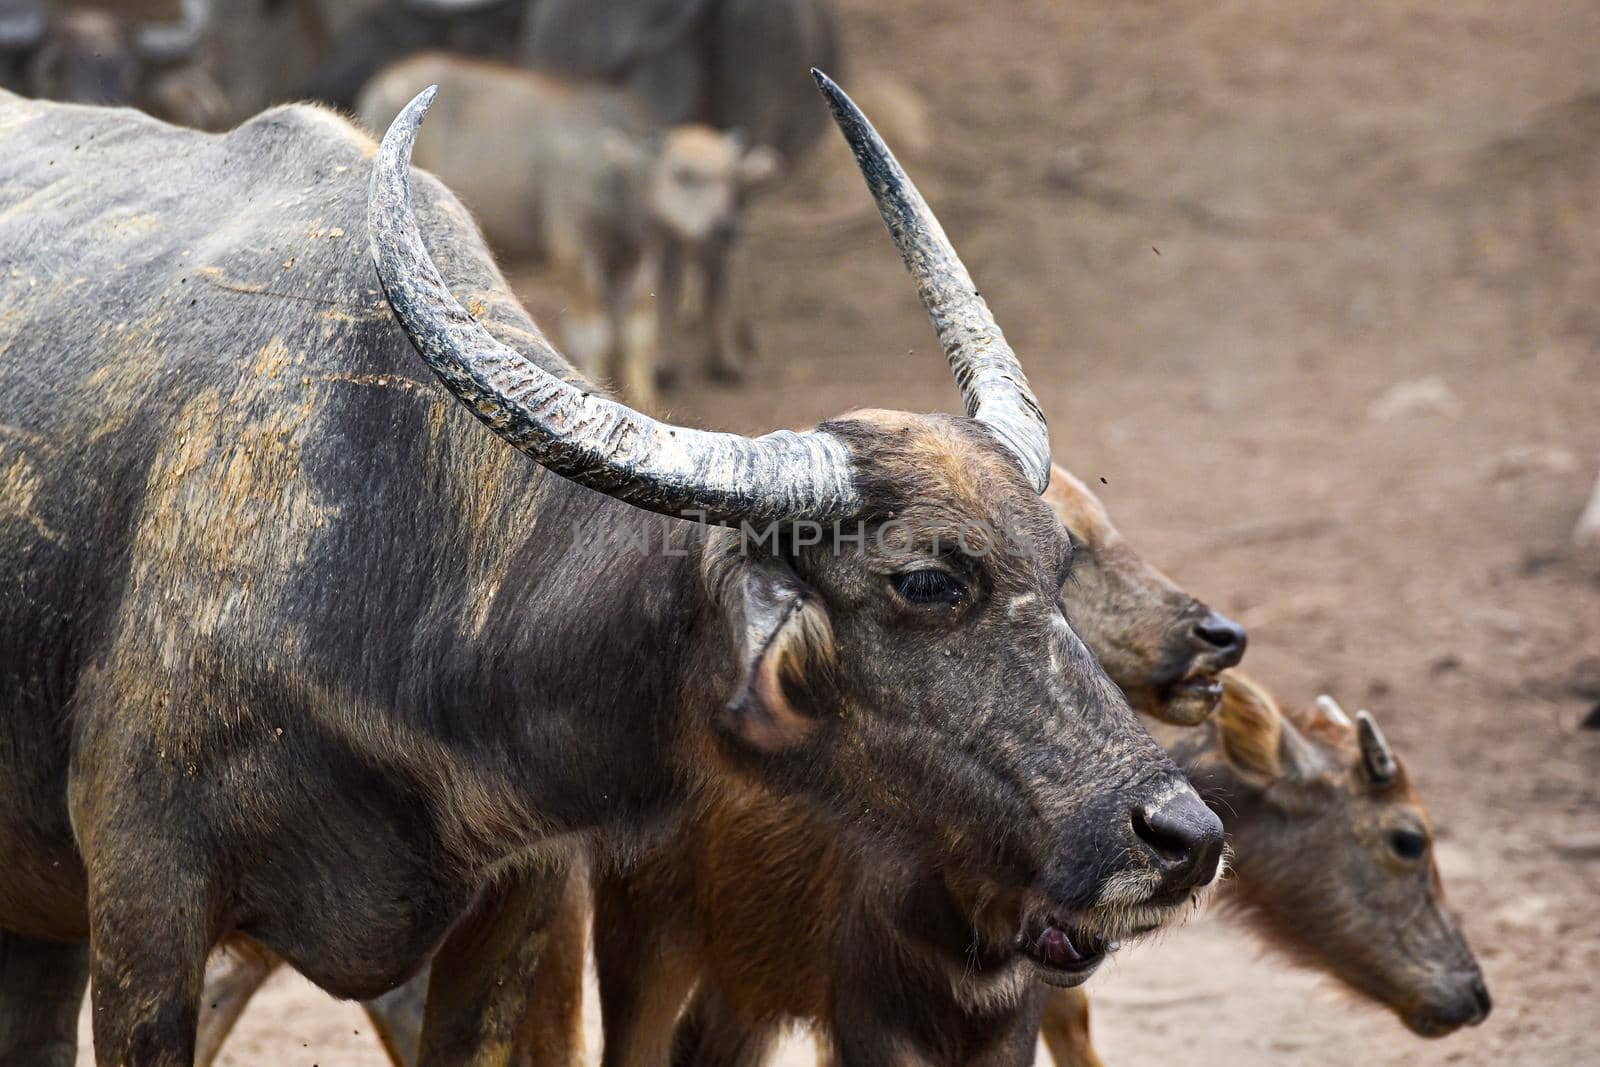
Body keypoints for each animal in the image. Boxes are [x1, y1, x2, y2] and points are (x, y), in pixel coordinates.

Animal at [355, 53, 774, 404]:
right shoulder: (574, 253)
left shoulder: (639, 259)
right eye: (681, 174)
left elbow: (636, 335)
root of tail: (385, 82)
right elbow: (594, 334)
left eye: (732, 178)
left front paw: (645, 401)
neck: (615, 183)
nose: (724, 228)